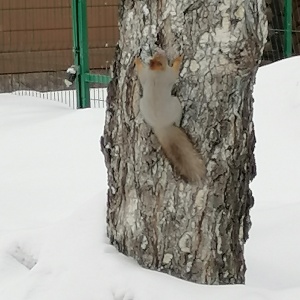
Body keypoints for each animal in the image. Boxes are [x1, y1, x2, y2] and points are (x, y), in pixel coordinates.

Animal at [134, 51, 206, 183]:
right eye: (161, 57)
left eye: (156, 54)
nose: (161, 51)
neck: (155, 71)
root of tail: (161, 126)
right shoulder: (168, 74)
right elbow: (175, 71)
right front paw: (179, 58)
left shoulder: (145, 74)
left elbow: (141, 72)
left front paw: (137, 60)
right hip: (176, 104)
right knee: (177, 120)